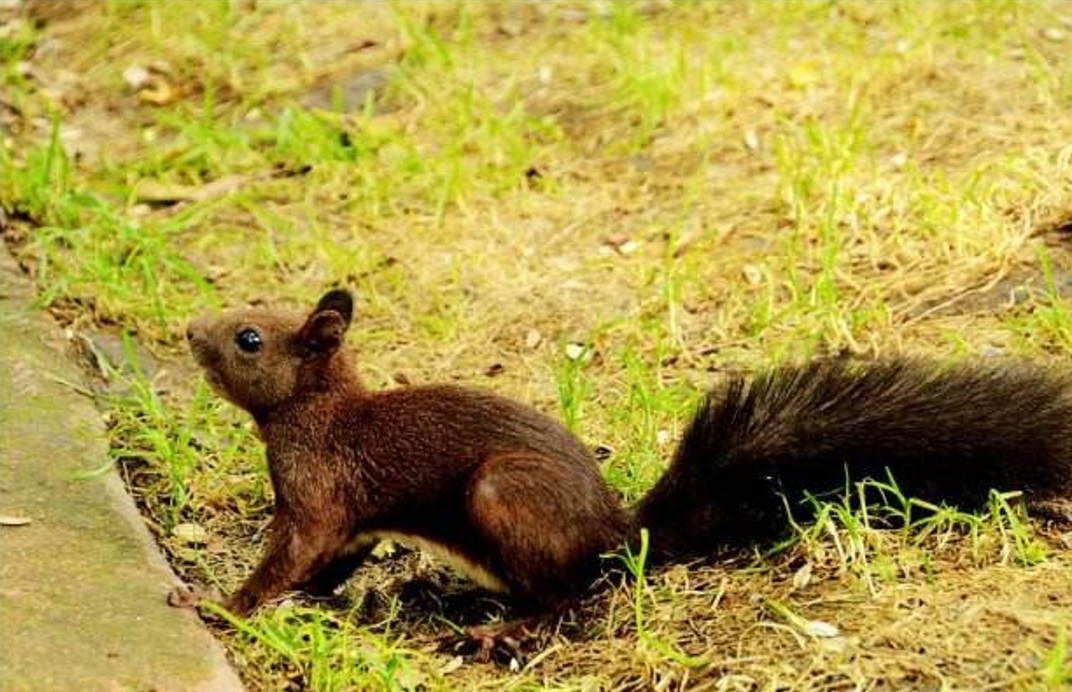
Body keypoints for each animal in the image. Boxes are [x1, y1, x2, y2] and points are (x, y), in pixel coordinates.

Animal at [167, 289, 1072, 659]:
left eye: (249, 338)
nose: (188, 331)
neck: (315, 412)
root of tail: (615, 533)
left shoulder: (320, 493)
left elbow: (290, 556)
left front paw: (218, 604)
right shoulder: (350, 519)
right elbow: (331, 562)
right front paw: (308, 601)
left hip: (502, 495)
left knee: (570, 595)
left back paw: (504, 630)